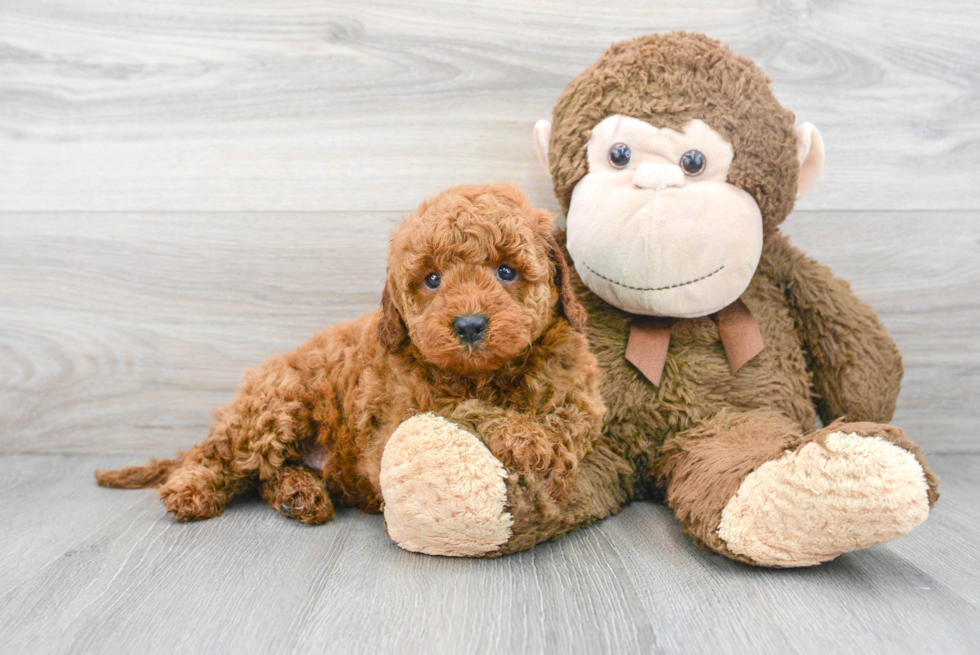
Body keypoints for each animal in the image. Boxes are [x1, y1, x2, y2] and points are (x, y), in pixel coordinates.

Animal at [99, 184, 604, 560]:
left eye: (506, 271)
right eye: (432, 279)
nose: (469, 325)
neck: (487, 374)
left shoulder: (581, 397)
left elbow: (567, 422)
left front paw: (538, 438)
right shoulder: (394, 420)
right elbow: (463, 408)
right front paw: (526, 437)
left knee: (264, 473)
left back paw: (299, 493)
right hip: (279, 400)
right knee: (222, 457)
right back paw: (191, 491)